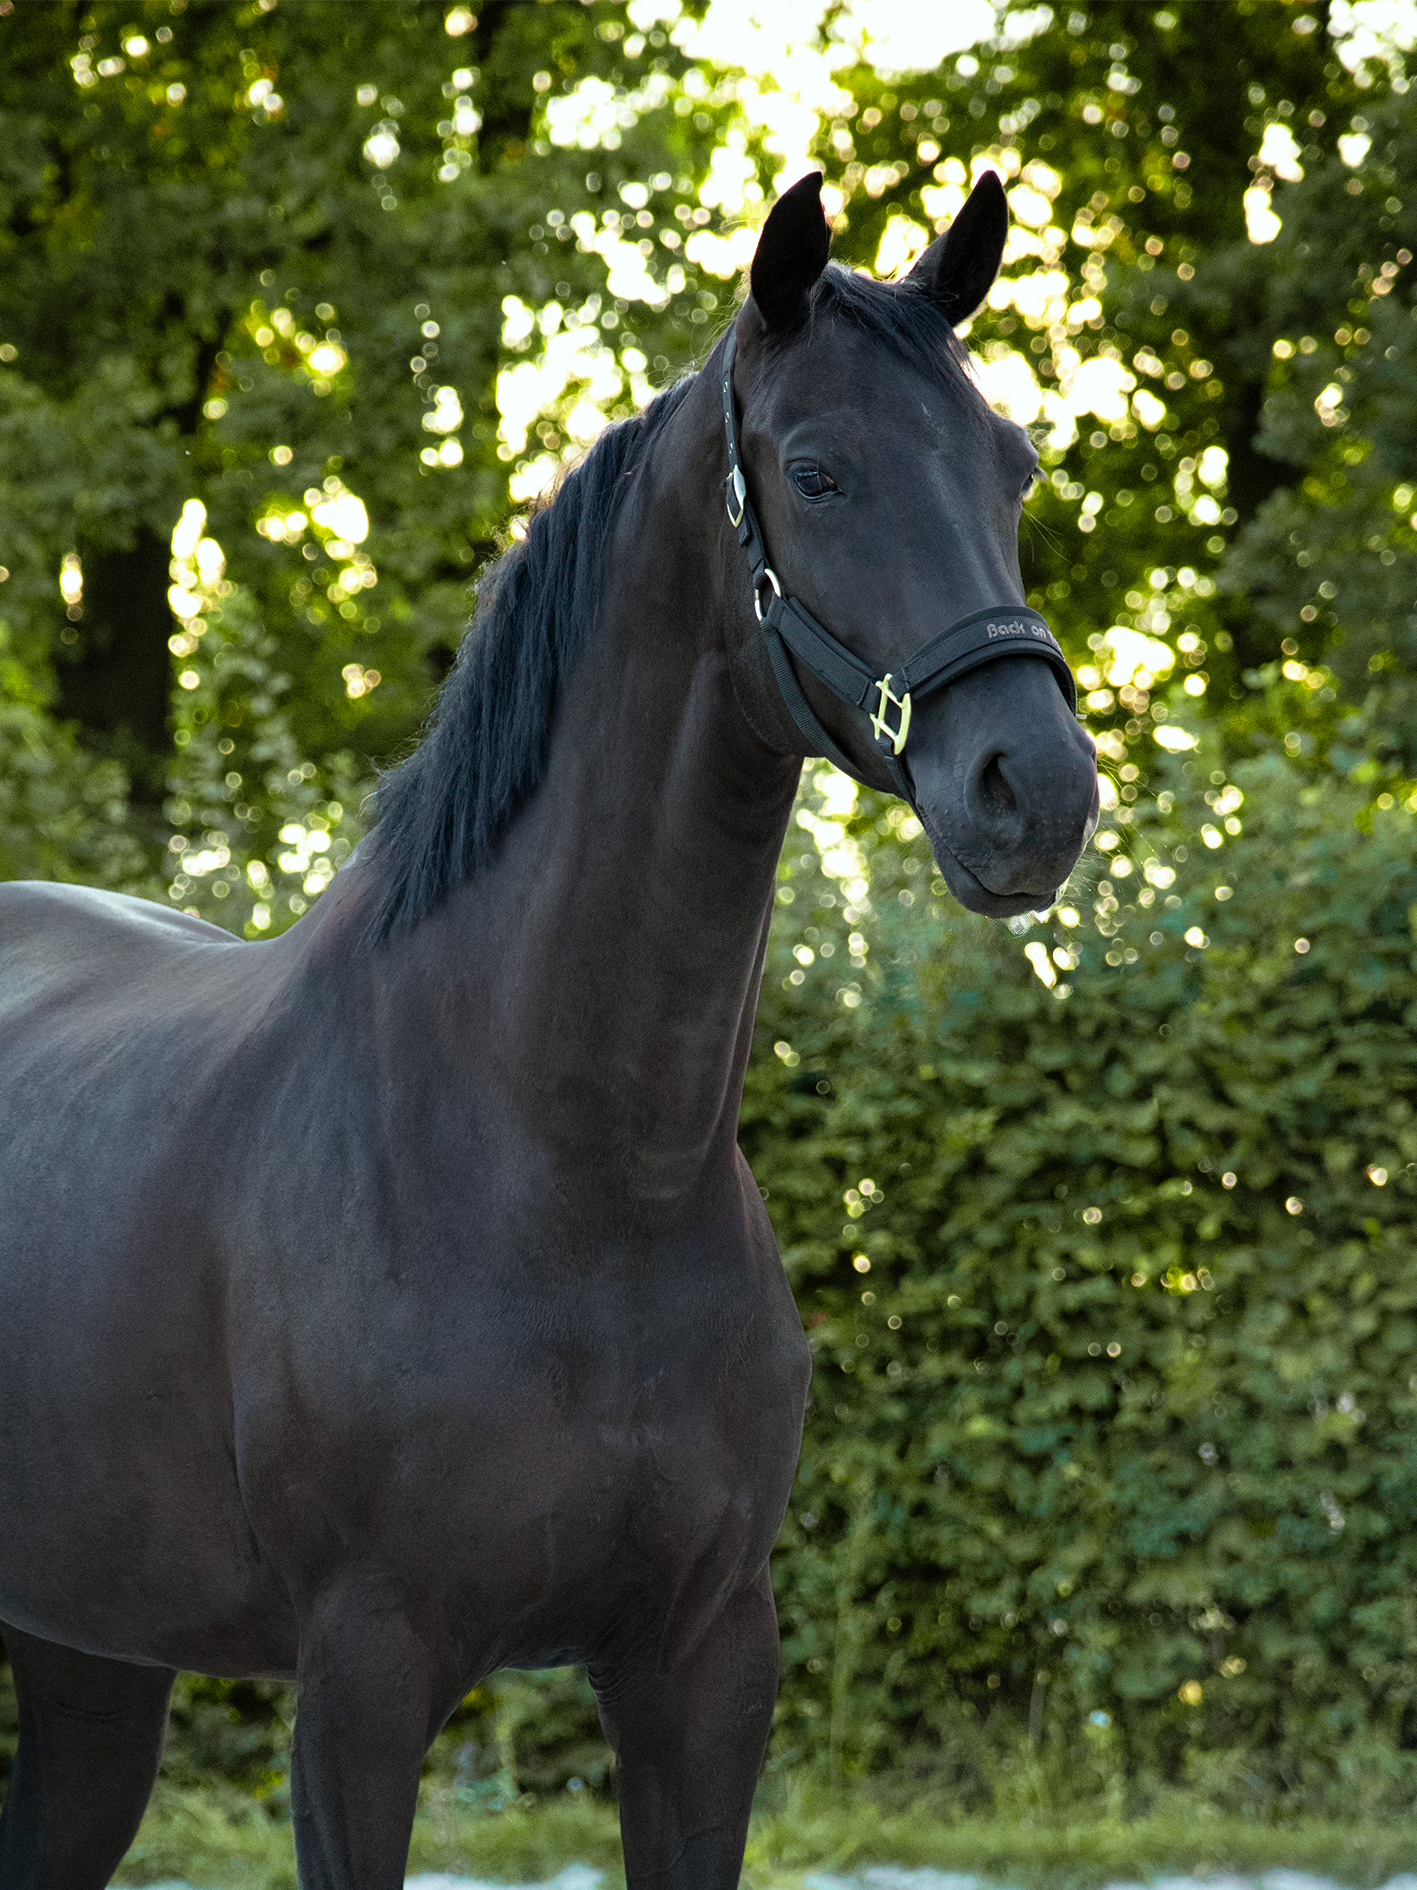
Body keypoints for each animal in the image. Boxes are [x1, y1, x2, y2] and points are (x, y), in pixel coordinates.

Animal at [0, 171, 1096, 1890]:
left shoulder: (702, 1666)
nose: (1031, 789)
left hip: (91, 1651)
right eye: (817, 469)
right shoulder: (363, 1677)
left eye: (1014, 463)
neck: (572, 1172)